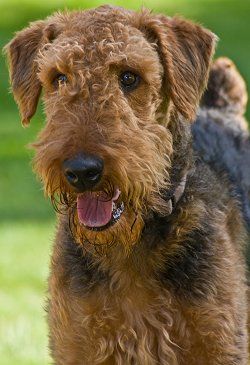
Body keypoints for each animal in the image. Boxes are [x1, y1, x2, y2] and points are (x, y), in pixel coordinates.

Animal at [4, 4, 249, 362]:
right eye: (59, 78)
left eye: (129, 77)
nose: (82, 171)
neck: (128, 248)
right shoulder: (78, 346)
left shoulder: (221, 346)